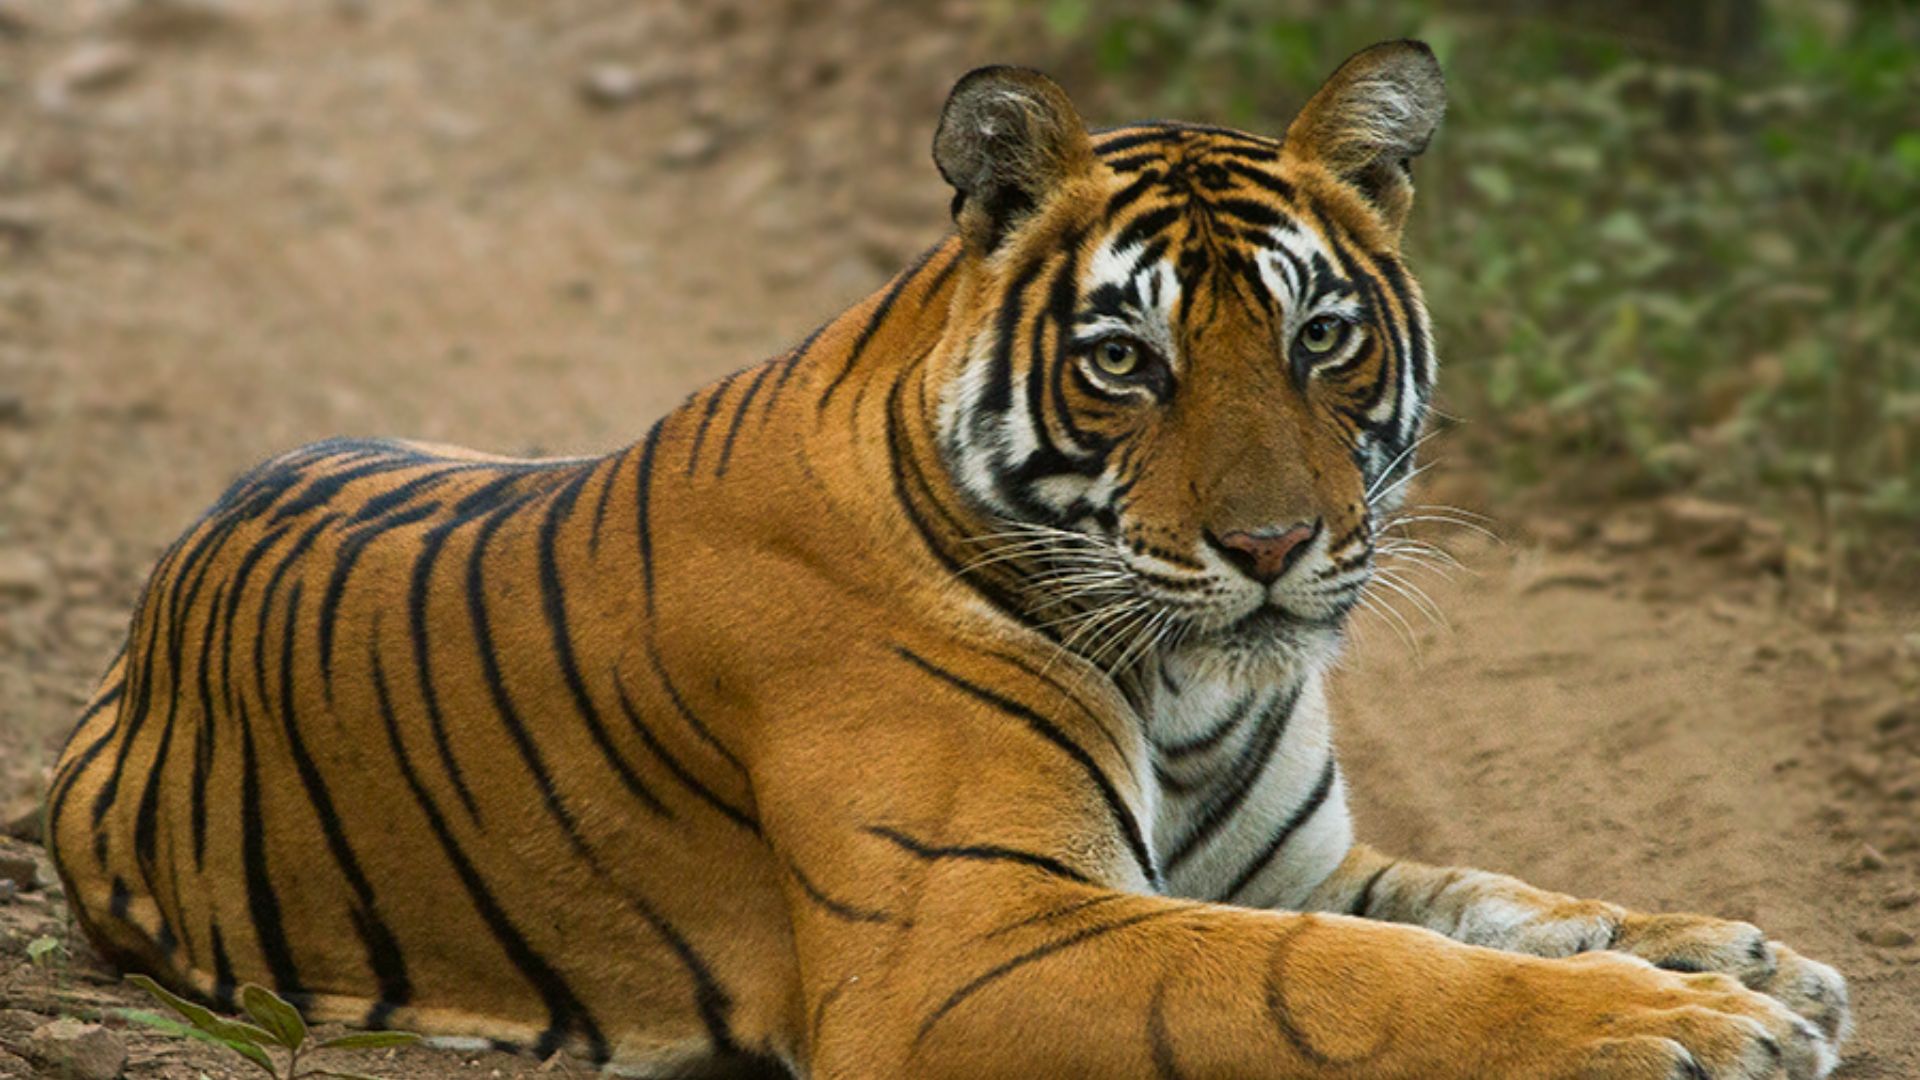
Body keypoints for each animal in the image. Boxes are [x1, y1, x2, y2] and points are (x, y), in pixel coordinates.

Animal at [44, 41, 1849, 1079]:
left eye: (1322, 338)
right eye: (1127, 362)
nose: (1274, 545)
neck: (1189, 683)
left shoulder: (1279, 866)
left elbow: (1482, 897)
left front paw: (1731, 954)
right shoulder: (970, 939)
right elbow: (1350, 978)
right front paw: (1691, 1026)